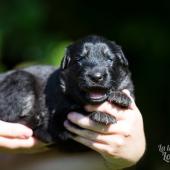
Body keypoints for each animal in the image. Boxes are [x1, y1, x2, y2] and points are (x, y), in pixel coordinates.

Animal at [0, 35, 134, 151]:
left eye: (109, 59)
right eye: (79, 59)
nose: (96, 77)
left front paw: (121, 97)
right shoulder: (59, 118)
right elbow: (75, 111)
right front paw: (102, 115)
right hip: (21, 79)